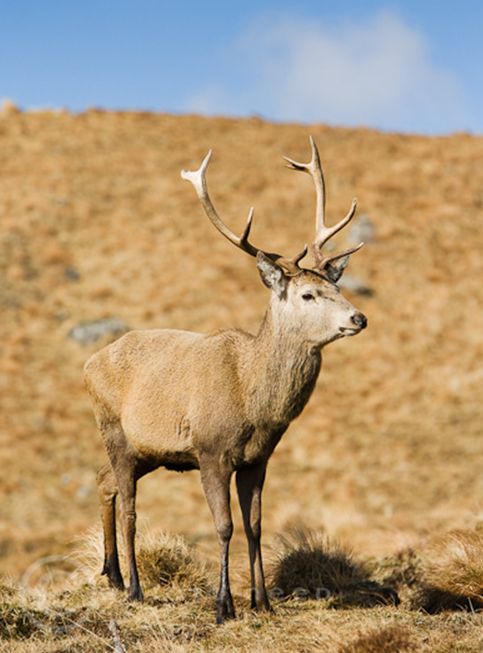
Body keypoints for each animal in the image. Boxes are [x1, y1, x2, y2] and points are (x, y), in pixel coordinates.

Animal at [84, 137, 367, 623]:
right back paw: (135, 588)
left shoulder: (258, 458)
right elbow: (224, 525)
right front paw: (224, 605)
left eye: (337, 287)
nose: (359, 318)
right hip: (114, 430)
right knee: (130, 509)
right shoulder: (211, 450)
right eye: (308, 294)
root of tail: (87, 364)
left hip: (147, 450)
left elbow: (255, 525)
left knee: (104, 482)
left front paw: (263, 601)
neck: (252, 401)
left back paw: (114, 575)